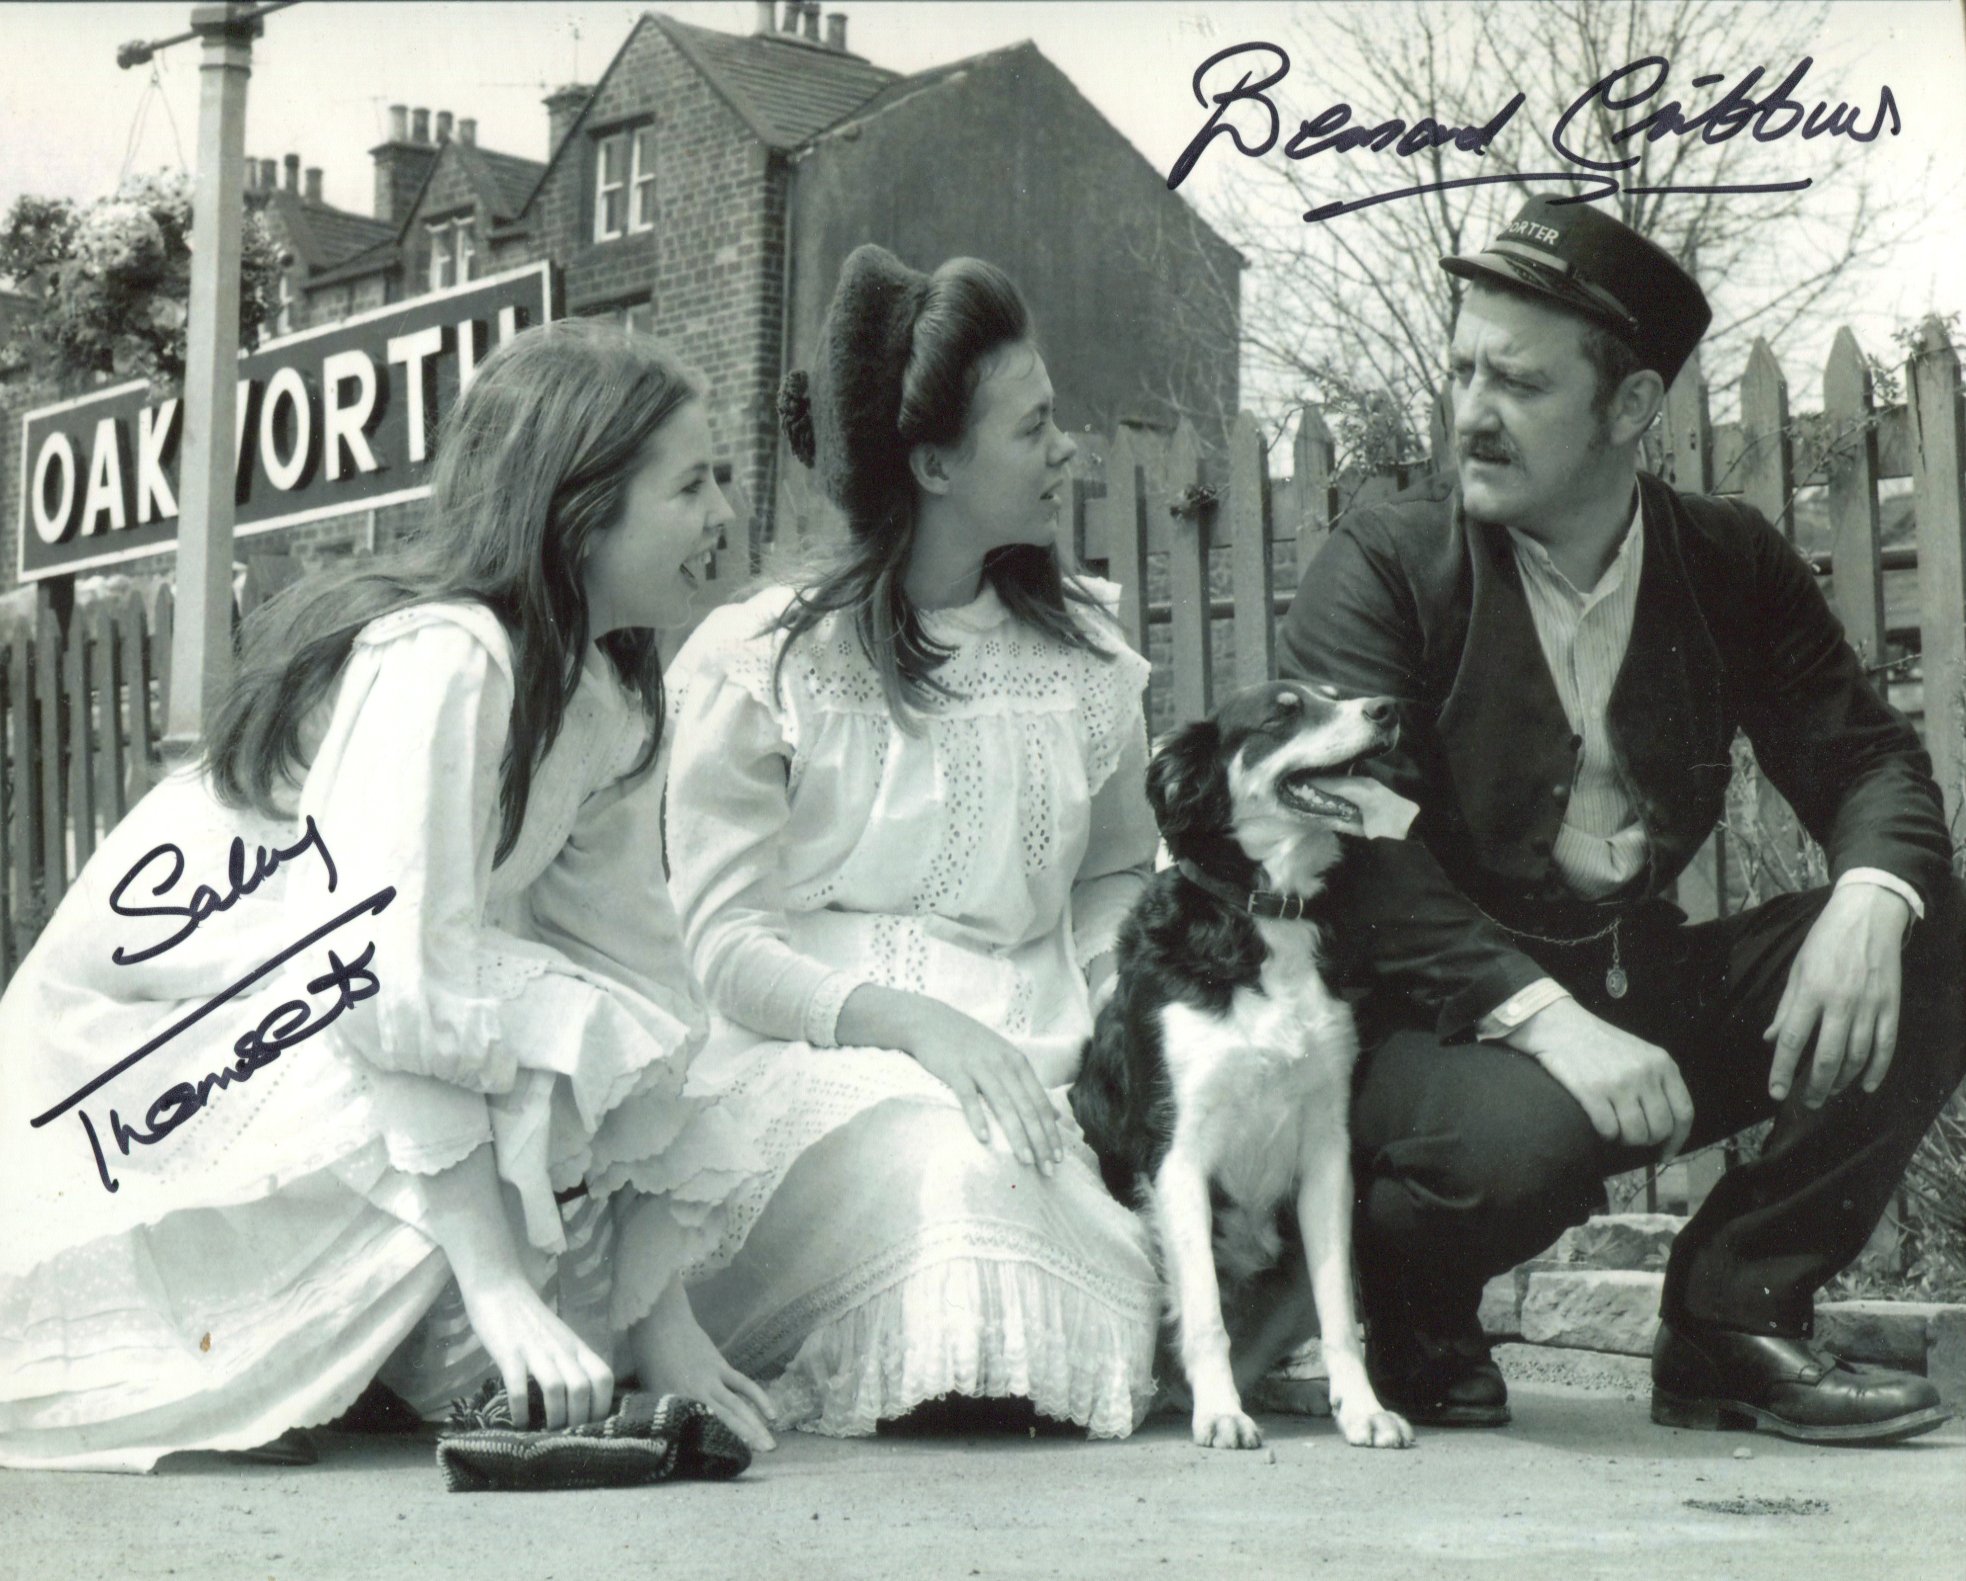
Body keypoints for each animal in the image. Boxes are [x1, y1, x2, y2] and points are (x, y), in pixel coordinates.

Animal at [1077, 680, 1415, 1447]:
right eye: (1282, 712)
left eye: (1336, 693)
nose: (1386, 708)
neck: (1267, 912)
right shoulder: (1178, 1152)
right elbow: (1204, 1313)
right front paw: (1222, 1414)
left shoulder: (1327, 1154)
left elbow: (1340, 1314)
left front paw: (1364, 1408)